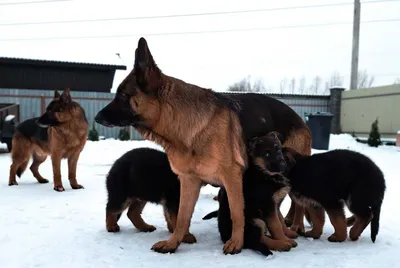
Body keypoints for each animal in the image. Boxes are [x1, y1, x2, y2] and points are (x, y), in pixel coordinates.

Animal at [253, 133, 388, 244]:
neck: (297, 169)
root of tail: (381, 179)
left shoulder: (330, 201)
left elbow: (336, 220)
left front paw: (339, 237)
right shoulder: (313, 203)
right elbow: (318, 220)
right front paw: (315, 234)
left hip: (355, 197)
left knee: (367, 215)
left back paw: (353, 233)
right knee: (365, 214)